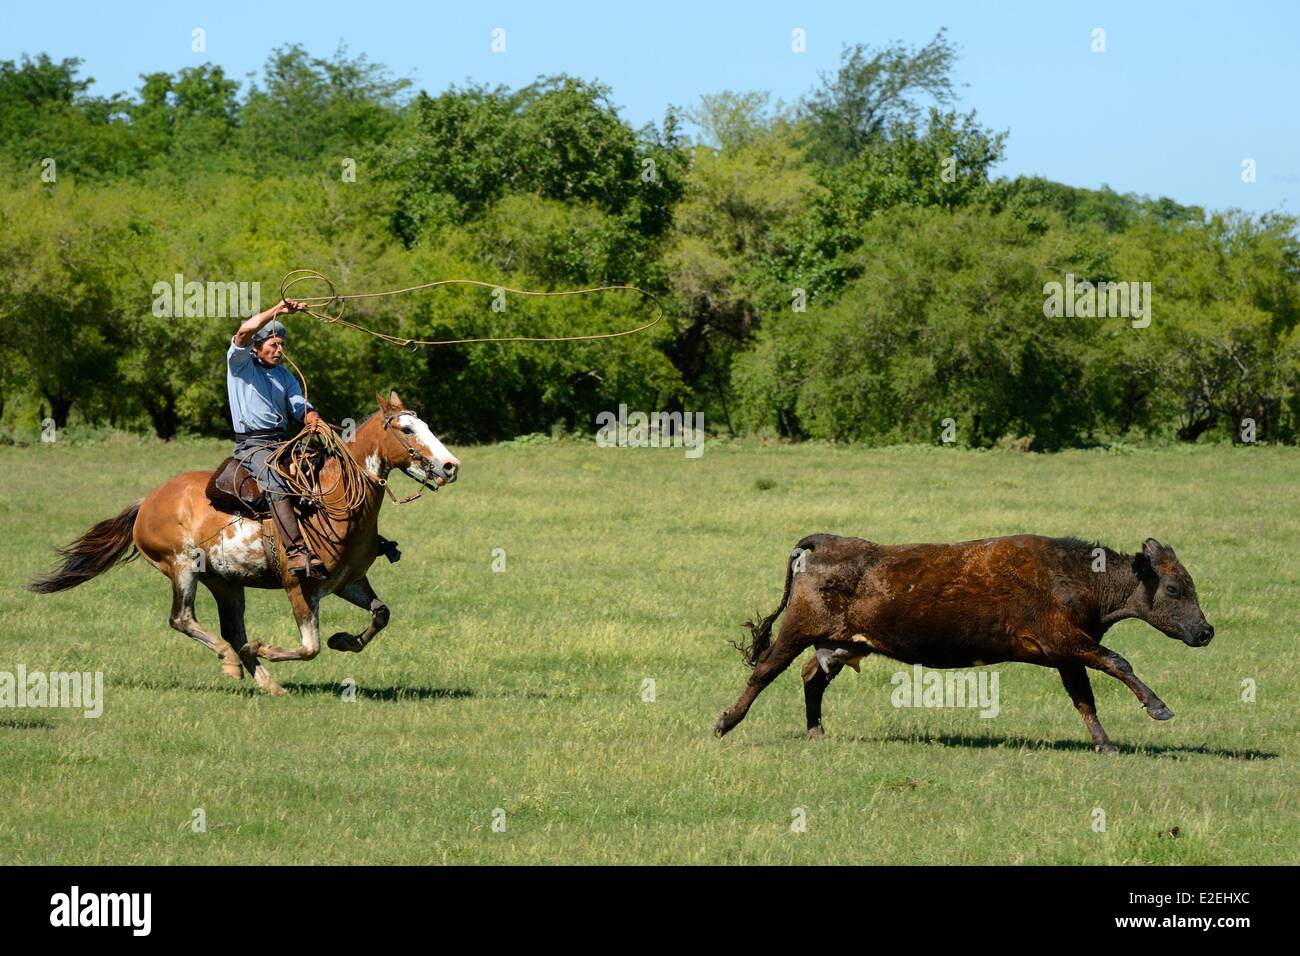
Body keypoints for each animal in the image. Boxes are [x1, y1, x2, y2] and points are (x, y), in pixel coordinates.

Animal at [27, 390, 460, 697]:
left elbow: (380, 614)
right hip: (182, 566)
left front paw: (343, 640)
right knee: (182, 619)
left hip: (226, 582)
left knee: (231, 629)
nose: (450, 466)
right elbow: (310, 646)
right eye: (406, 430)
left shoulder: (348, 582)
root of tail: (147, 501)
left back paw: (264, 679)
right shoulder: (300, 585)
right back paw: (233, 661)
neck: (333, 501)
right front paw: (264, 648)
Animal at [717, 535, 1211, 749]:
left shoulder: (1066, 655)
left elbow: (1084, 699)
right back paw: (725, 722)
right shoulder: (1069, 642)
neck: (1078, 576)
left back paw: (816, 731)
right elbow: (1118, 661)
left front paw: (1105, 744)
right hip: (796, 631)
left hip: (839, 644)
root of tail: (824, 541)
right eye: (1173, 588)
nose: (1206, 631)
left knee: (811, 677)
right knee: (766, 670)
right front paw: (1159, 708)